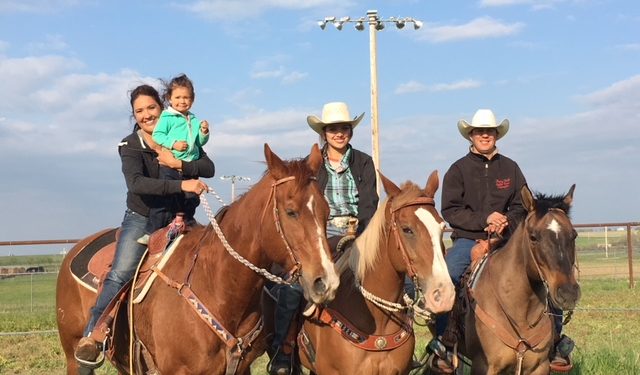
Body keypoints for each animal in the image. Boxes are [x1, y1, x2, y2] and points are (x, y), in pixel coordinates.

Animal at [56, 144, 340, 375]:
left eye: (327, 212)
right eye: (291, 212)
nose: (326, 282)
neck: (217, 285)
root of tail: (76, 249)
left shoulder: (241, 368)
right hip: (73, 356)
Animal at [450, 186, 580, 375]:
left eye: (573, 235)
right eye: (533, 237)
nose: (568, 293)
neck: (520, 313)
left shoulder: (539, 366)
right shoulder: (484, 366)